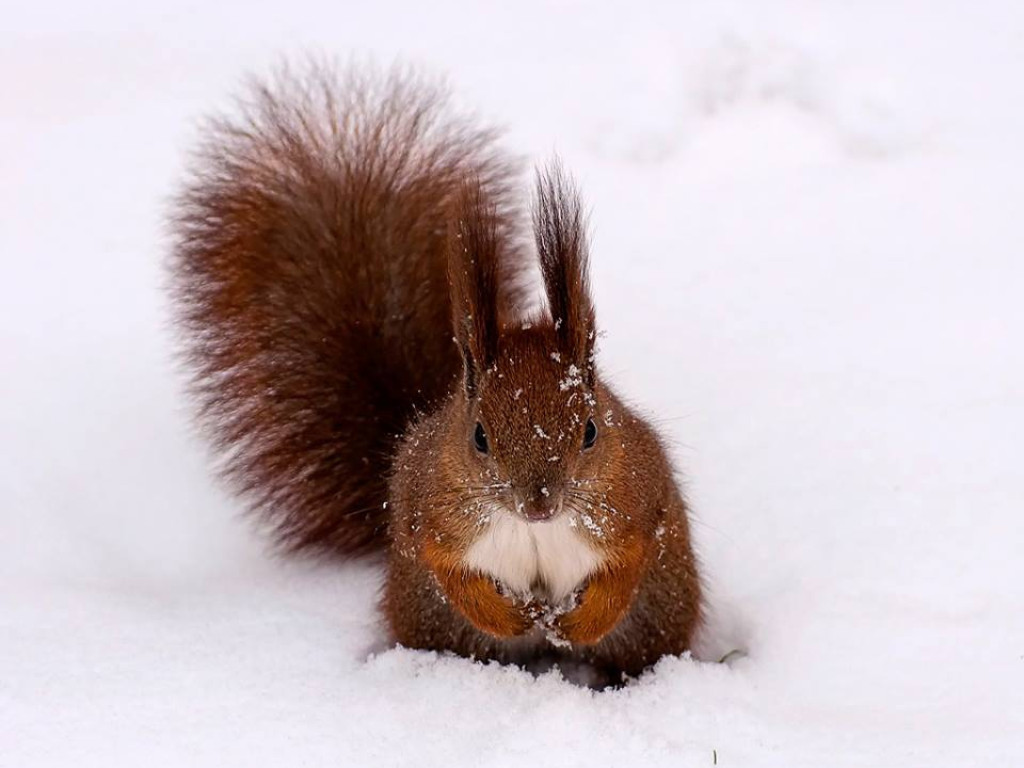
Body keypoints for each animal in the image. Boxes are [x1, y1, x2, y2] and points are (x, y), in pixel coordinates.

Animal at [169, 64, 704, 679]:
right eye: (479, 437)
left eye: (591, 431)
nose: (539, 505)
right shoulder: (428, 506)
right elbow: (448, 567)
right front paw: (512, 617)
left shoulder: (636, 498)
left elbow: (626, 566)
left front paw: (576, 621)